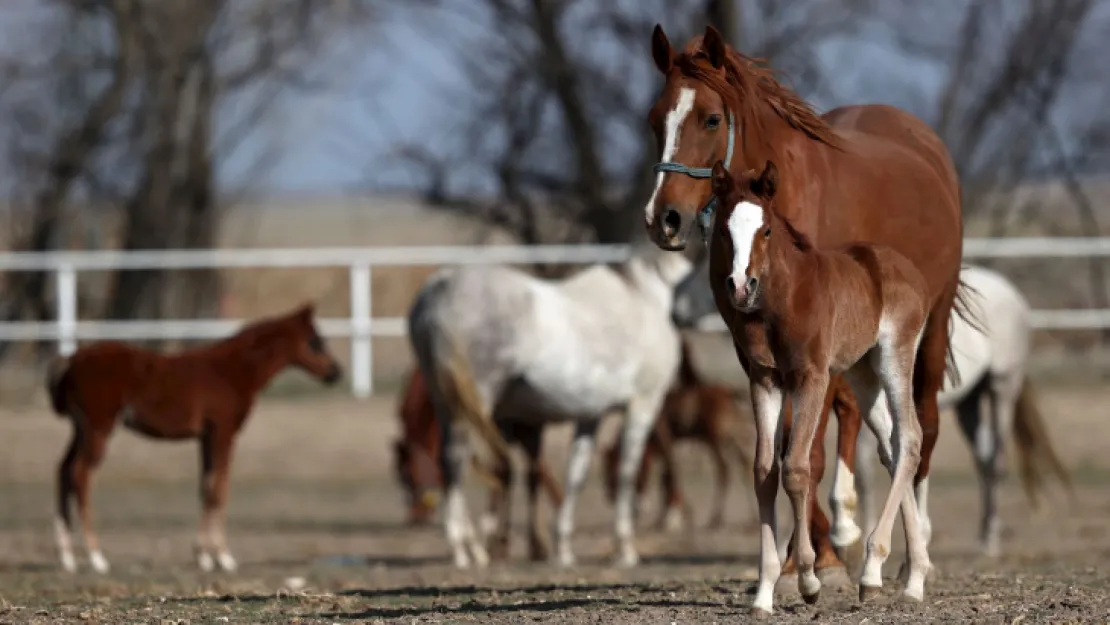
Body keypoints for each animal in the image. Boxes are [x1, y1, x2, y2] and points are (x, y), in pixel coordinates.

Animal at [47, 304, 339, 572]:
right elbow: (219, 489)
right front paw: (223, 557)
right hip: (98, 429)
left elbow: (206, 487)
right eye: (315, 341)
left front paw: (203, 556)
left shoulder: (206, 438)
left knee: (63, 470)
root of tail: (71, 360)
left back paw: (67, 557)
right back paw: (96, 557)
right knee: (80, 474)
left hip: (80, 430)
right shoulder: (223, 432)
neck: (233, 370)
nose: (336, 373)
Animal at [408, 247, 688, 568]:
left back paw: (473, 547)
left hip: (447, 402)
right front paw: (625, 549)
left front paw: (563, 548)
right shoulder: (643, 405)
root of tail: (441, 287)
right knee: (458, 459)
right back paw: (462, 548)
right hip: (472, 403)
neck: (644, 295)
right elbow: (627, 472)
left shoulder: (590, 415)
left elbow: (575, 474)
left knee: (451, 461)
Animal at [705, 163, 932, 617]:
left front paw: (809, 580)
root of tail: (907, 269)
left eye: (766, 229)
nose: (740, 286)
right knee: (892, 447)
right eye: (723, 229)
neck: (784, 300)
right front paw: (763, 593)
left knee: (911, 440)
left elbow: (796, 467)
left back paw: (876, 573)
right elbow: (764, 471)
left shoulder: (812, 378)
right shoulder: (765, 379)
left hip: (894, 357)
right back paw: (908, 580)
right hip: (863, 373)